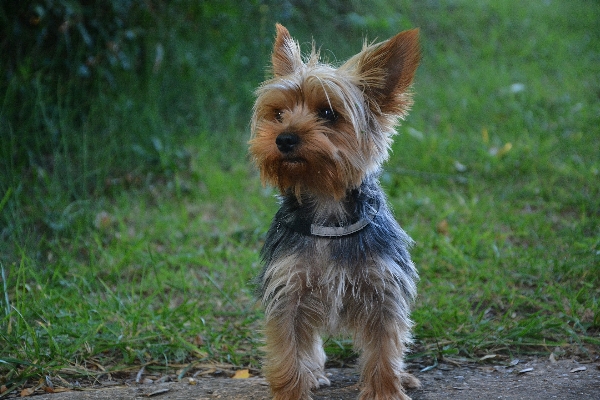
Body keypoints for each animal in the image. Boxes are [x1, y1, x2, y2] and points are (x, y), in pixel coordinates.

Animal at [251, 23, 420, 398]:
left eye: (328, 113)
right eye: (278, 114)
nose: (283, 138)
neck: (327, 212)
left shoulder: (383, 290)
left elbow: (385, 350)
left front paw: (386, 390)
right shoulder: (288, 292)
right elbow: (287, 352)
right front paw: (291, 391)